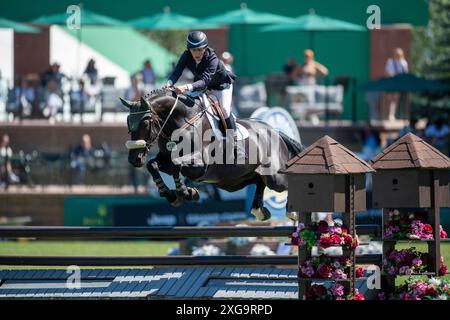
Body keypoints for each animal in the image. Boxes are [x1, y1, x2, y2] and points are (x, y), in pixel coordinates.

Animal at [121, 89, 304, 221]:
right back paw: (259, 210)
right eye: (129, 124)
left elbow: (176, 166)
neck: (181, 122)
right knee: (259, 181)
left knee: (281, 182)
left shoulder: (200, 165)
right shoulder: (165, 159)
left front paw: (186, 192)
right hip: (234, 181)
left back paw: (292, 212)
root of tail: (275, 131)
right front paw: (172, 195)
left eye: (145, 122)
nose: (134, 159)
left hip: (274, 177)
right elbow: (153, 165)